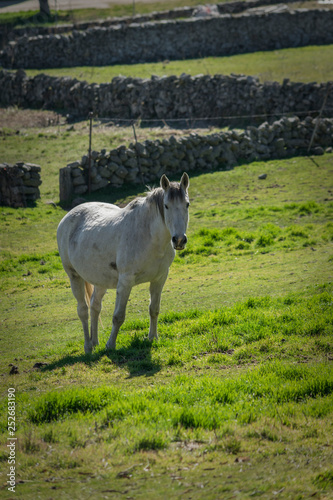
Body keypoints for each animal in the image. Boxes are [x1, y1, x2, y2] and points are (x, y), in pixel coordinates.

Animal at [57, 174, 189, 354]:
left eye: (187, 204)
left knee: (95, 306)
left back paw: (95, 342)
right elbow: (118, 316)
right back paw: (88, 347)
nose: (179, 240)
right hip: (74, 276)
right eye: (166, 206)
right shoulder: (126, 282)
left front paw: (153, 338)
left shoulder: (159, 278)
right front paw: (110, 345)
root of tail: (67, 217)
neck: (149, 237)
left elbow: (154, 309)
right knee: (83, 310)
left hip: (100, 280)